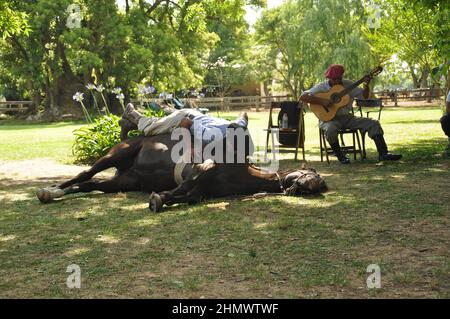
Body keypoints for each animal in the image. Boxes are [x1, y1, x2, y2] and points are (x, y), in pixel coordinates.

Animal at [37, 122, 326, 210]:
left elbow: (190, 196)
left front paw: (164, 198)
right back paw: (50, 191)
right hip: (115, 155)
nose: (315, 184)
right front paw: (159, 198)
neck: (241, 173)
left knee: (90, 184)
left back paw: (57, 193)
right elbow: (189, 181)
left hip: (124, 181)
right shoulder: (203, 167)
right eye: (312, 172)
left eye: (318, 183)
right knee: (85, 173)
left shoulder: (203, 192)